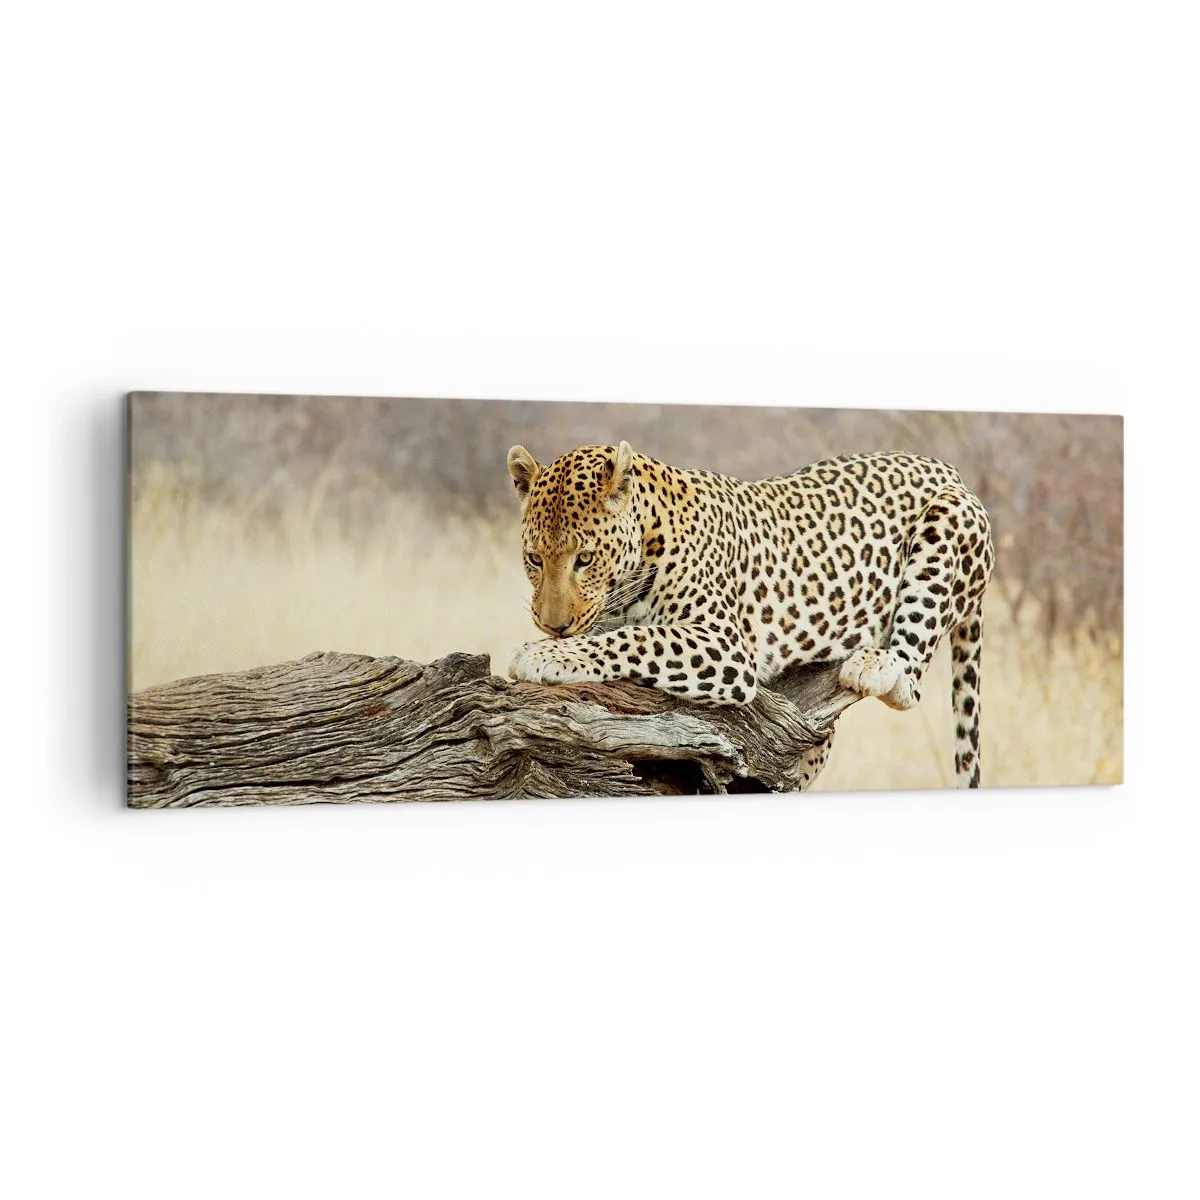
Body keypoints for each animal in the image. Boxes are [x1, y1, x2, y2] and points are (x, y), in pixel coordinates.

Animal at [505, 441, 995, 789]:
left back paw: (874, 665)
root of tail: (949, 469)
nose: (552, 625)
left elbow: (637, 638)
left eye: (585, 559)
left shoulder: (724, 644)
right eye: (534, 559)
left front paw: (543, 655)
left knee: (909, 682)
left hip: (947, 522)